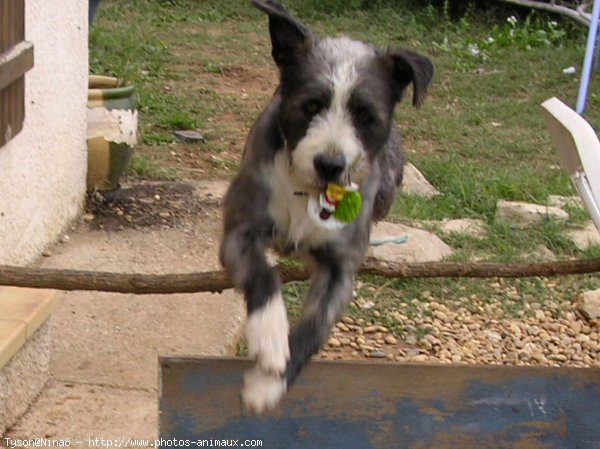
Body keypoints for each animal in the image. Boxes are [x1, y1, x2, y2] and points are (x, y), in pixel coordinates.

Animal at [219, 0, 432, 412]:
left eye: (365, 115)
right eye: (311, 105)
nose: (330, 164)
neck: (308, 191)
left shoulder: (340, 267)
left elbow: (315, 329)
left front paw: (269, 383)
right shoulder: (240, 231)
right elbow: (263, 275)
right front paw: (271, 340)